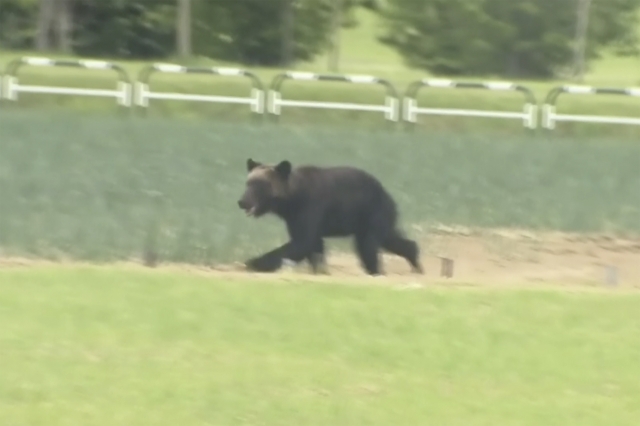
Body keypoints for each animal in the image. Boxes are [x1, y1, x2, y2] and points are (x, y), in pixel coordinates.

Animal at [238, 157, 422, 276]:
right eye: (248, 183)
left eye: (260, 185)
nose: (242, 202)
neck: (291, 201)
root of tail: (387, 193)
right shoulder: (294, 218)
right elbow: (312, 245)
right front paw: (320, 269)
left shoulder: (311, 207)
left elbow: (301, 242)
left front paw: (251, 262)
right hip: (368, 219)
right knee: (390, 238)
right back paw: (414, 260)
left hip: (372, 211)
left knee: (368, 245)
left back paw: (377, 270)